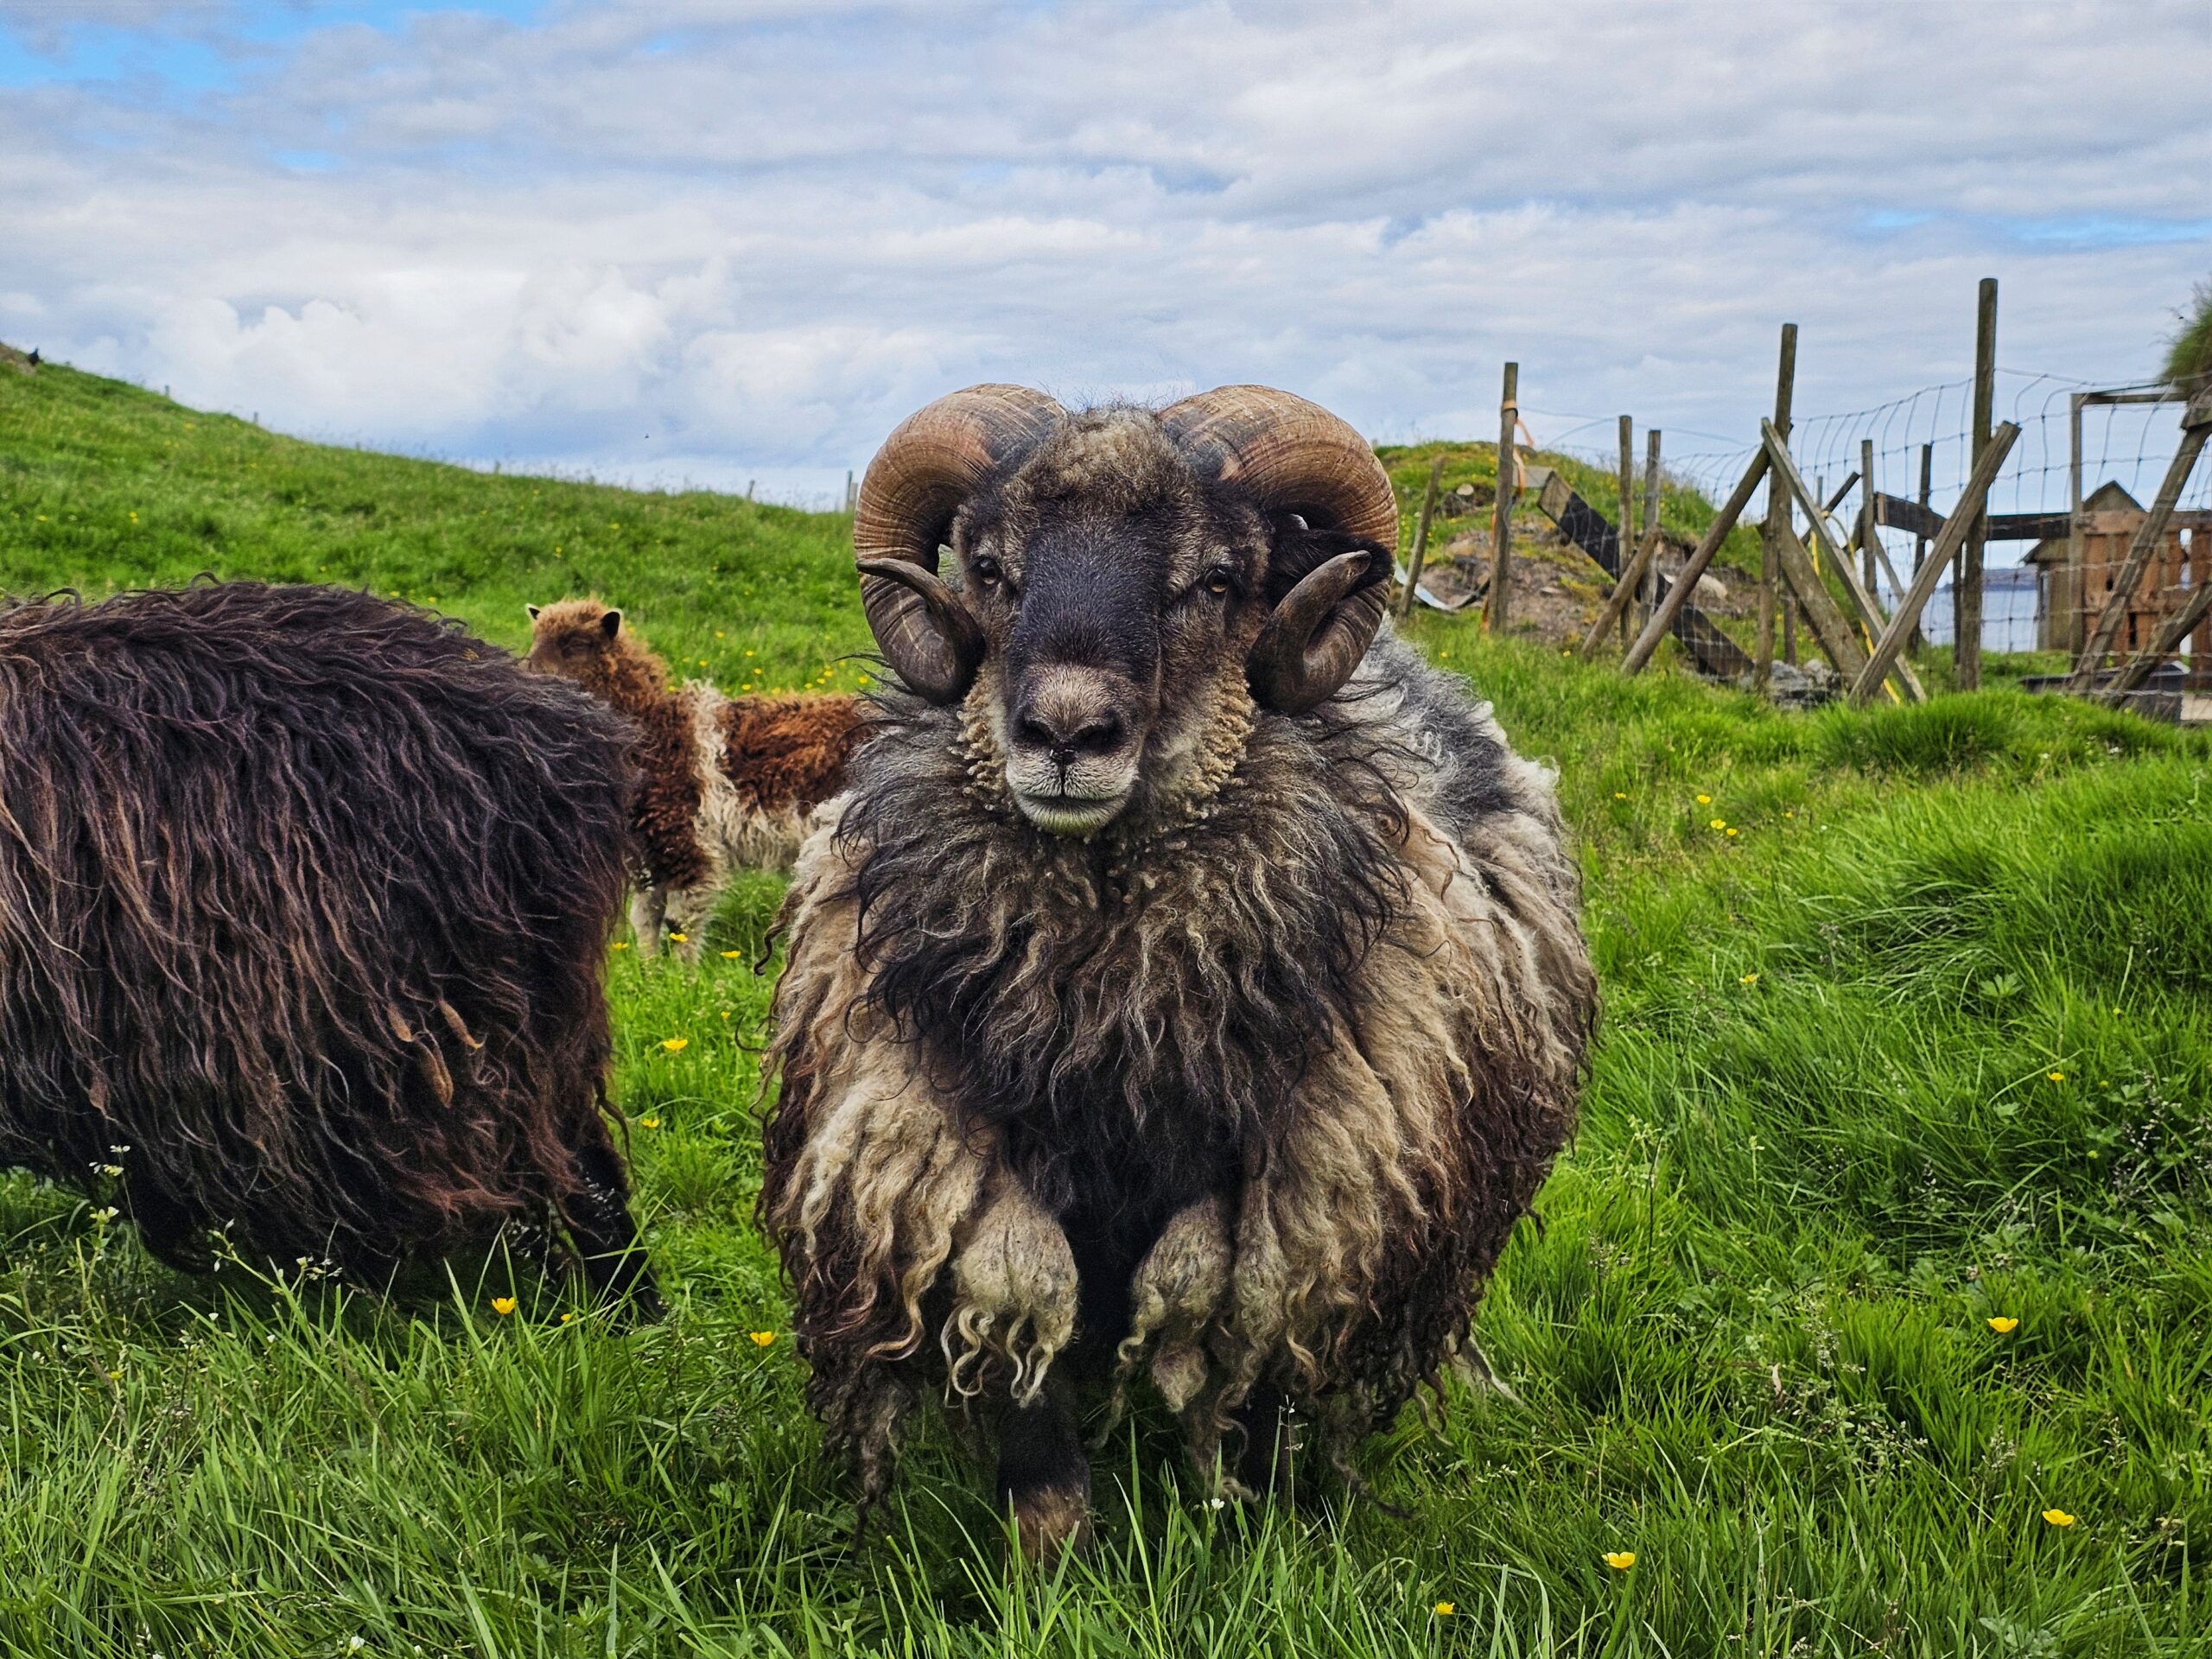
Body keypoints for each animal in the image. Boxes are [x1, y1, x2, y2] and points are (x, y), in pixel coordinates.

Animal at [525, 599, 860, 959]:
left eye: (577, 645)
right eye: (535, 638)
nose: (529, 672)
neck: (658, 735)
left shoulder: (686, 842)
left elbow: (679, 925)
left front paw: (682, 971)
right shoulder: (649, 852)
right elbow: (646, 919)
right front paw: (649, 967)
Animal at [761, 385, 1598, 1559]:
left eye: (1216, 581)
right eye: (989, 567)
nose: (1067, 734)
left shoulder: (1307, 1190)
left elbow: (1262, 1358)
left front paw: (1271, 1536)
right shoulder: (972, 1164)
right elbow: (1029, 1344)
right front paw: (1046, 1558)